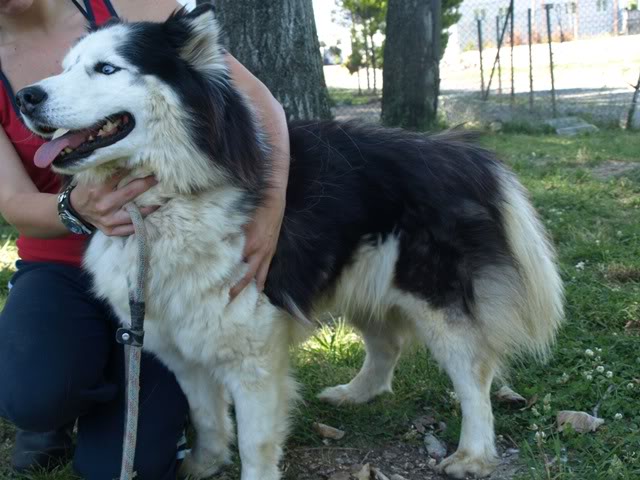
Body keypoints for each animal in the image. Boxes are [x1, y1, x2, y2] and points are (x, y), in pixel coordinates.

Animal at [17, 5, 564, 478]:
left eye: (106, 68)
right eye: (64, 68)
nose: (25, 96)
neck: (167, 200)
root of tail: (462, 154)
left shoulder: (254, 355)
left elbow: (256, 442)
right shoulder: (181, 344)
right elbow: (208, 418)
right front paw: (203, 464)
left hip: (434, 301)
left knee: (474, 376)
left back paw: (473, 454)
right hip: (358, 277)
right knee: (387, 344)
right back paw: (357, 393)